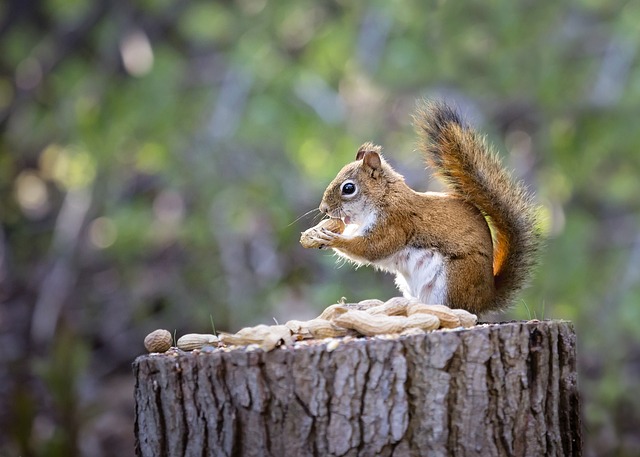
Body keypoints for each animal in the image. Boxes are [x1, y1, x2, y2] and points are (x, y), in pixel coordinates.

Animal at [305, 100, 542, 314]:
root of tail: (485, 298)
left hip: (453, 278)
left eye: (348, 188)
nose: (323, 209)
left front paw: (331, 239)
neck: (384, 197)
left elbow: (372, 248)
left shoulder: (395, 222)